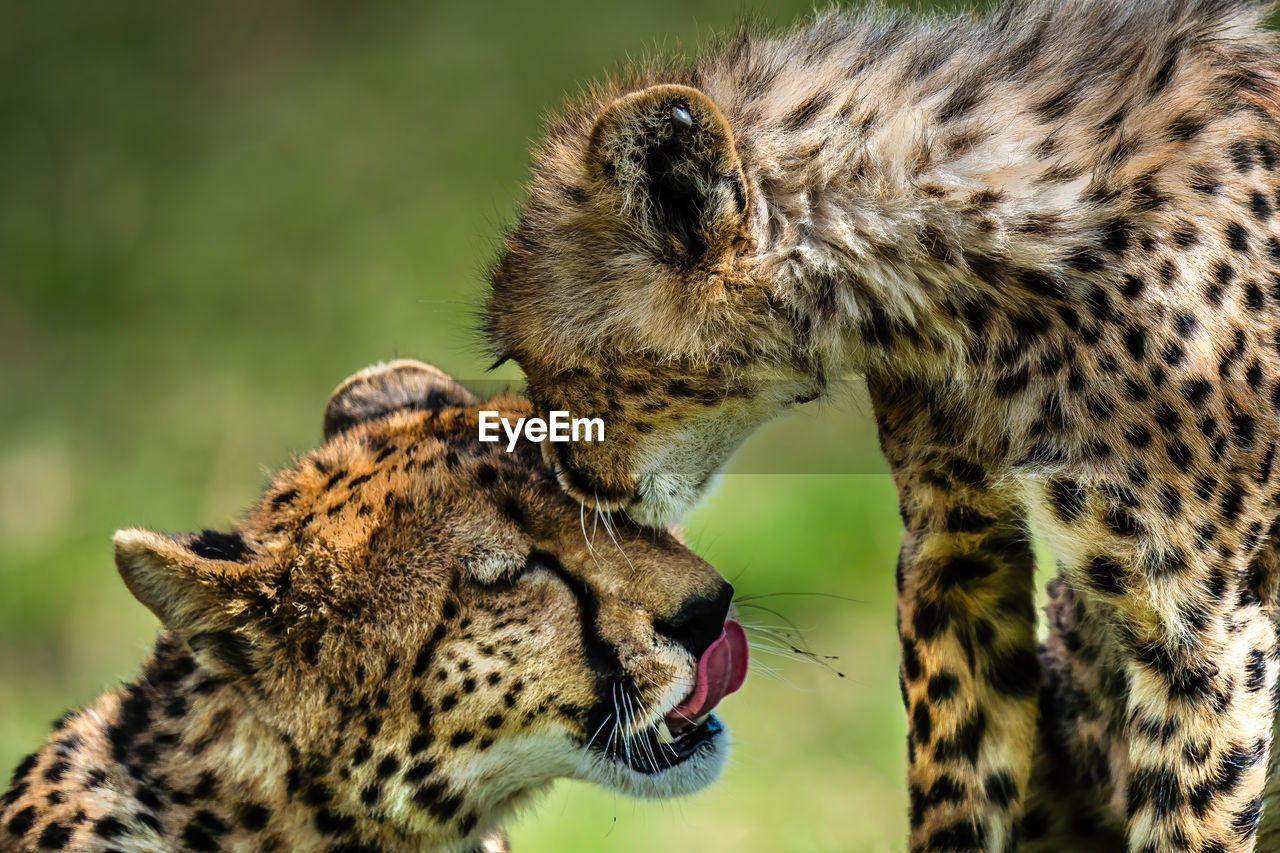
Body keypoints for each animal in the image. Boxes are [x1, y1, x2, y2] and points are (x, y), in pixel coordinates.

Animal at [483, 0, 1280, 845]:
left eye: (549, 367)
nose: (566, 472)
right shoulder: (955, 549)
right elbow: (956, 767)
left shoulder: (1202, 622)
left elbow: (1194, 812)